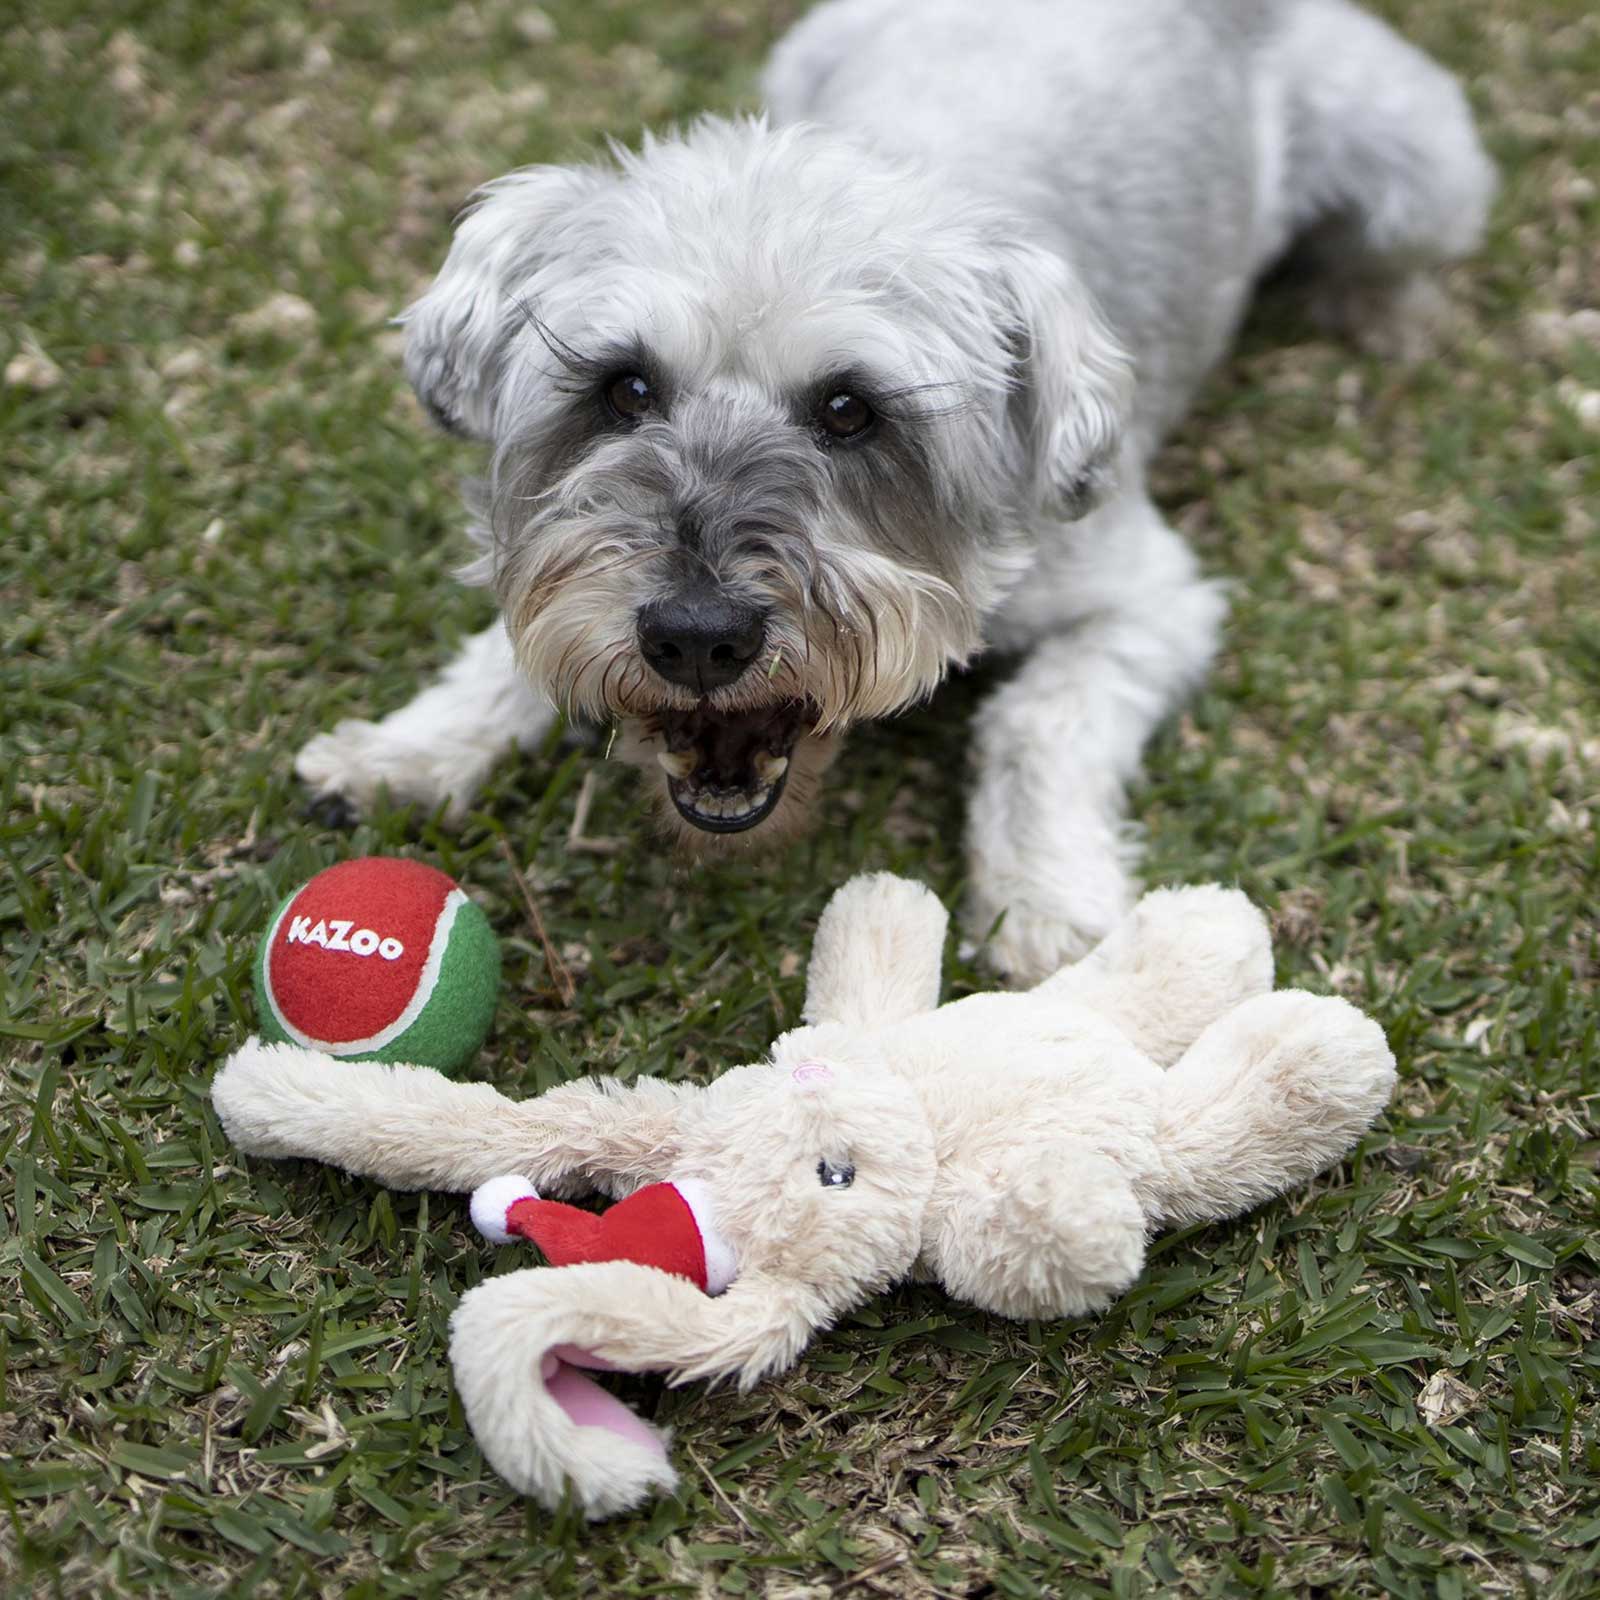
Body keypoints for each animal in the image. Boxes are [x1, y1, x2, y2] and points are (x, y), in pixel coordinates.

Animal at [294, 0, 1491, 979]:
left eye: (849, 409)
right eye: (623, 387)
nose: (696, 637)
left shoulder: (1148, 600)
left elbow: (1037, 725)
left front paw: (1048, 900)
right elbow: (516, 634)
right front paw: (406, 748)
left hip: (1421, 171)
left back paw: (1383, 315)